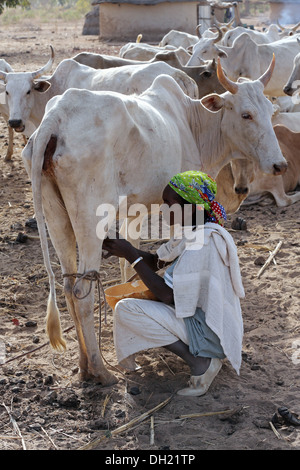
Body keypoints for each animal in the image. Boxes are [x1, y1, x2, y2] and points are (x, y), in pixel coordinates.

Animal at [21, 57, 286, 384]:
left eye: (270, 112)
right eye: (246, 114)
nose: (279, 164)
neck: (193, 123)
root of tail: (55, 118)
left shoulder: (133, 212)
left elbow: (129, 263)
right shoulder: (174, 210)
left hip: (56, 217)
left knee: (69, 288)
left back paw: (83, 367)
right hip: (89, 218)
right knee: (82, 294)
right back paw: (101, 371)